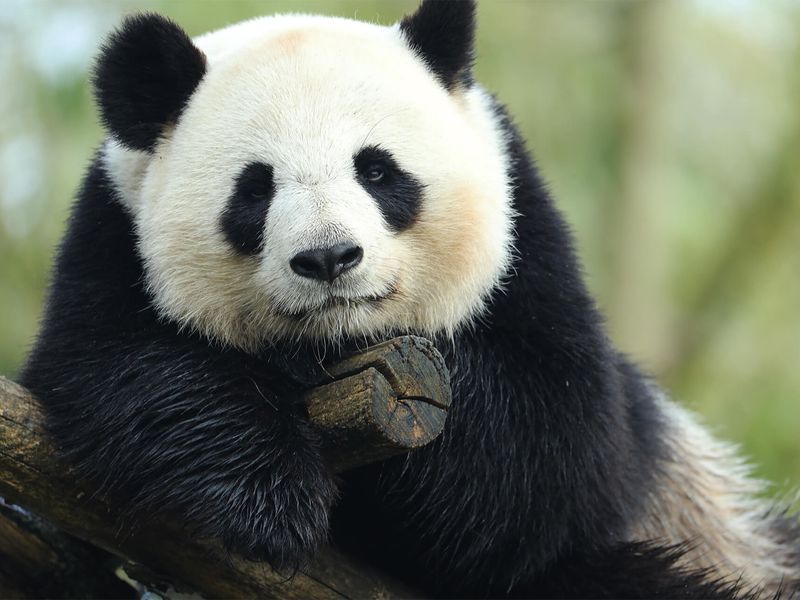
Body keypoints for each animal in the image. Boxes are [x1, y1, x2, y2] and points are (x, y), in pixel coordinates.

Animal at [18, 2, 800, 596]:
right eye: (255, 188)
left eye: (377, 170)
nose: (329, 258)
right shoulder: (111, 242)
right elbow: (115, 371)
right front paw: (271, 498)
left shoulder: (529, 254)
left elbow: (543, 459)